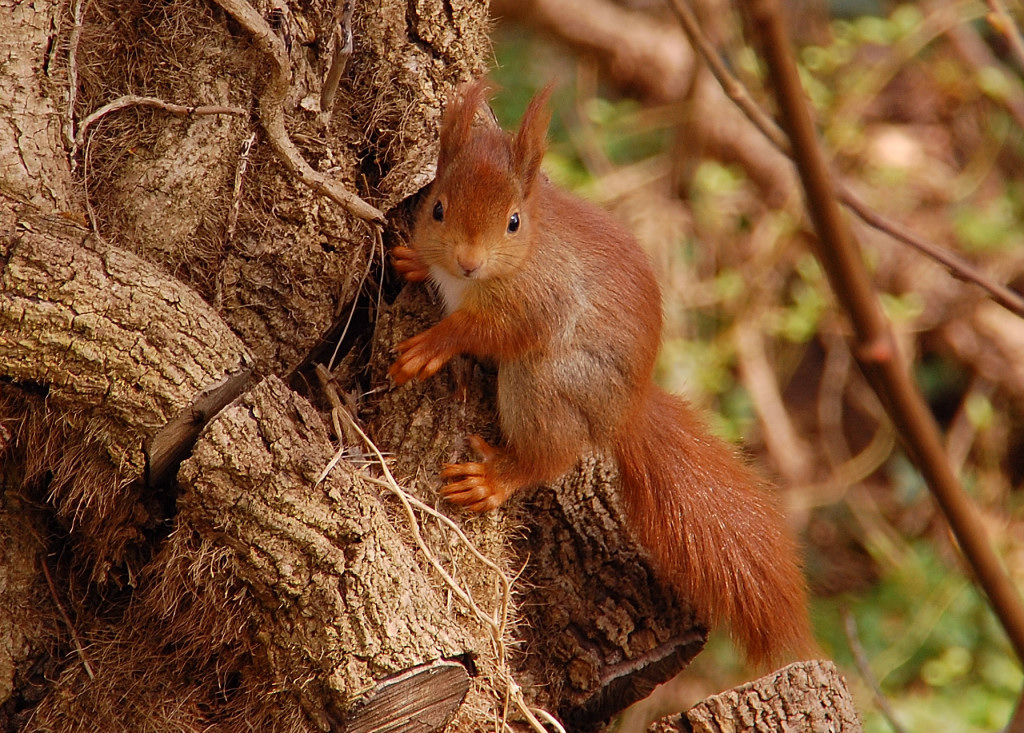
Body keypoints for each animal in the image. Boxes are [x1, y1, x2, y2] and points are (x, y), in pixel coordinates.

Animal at [387, 81, 811, 671]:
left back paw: (496, 477)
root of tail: (626, 410)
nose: (469, 262)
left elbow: (485, 331)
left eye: (514, 221)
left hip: (545, 383)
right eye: (437, 209)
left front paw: (432, 345)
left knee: (552, 453)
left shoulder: (536, 301)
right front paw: (413, 262)